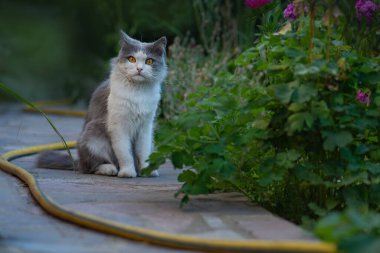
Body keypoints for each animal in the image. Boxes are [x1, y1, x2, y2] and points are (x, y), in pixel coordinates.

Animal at [37, 31, 168, 178]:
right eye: (131, 59)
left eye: (149, 61)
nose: (139, 69)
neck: (137, 92)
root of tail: (78, 162)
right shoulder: (119, 127)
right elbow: (125, 153)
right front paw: (127, 172)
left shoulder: (146, 127)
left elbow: (143, 153)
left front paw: (146, 171)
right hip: (93, 137)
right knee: (91, 167)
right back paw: (110, 169)